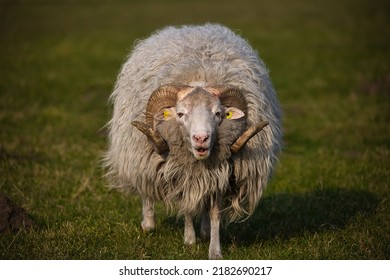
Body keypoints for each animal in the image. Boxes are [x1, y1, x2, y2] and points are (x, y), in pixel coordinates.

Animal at [103, 23, 280, 260]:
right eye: (180, 114)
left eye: (218, 113)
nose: (201, 138)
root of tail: (189, 28)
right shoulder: (179, 169)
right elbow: (186, 207)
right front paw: (189, 240)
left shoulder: (223, 170)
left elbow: (214, 212)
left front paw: (214, 250)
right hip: (140, 155)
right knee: (145, 188)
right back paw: (148, 223)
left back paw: (203, 230)